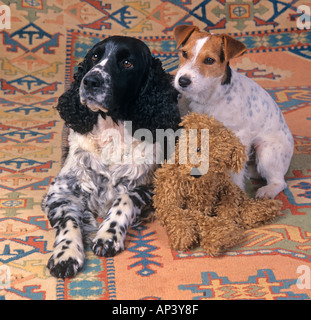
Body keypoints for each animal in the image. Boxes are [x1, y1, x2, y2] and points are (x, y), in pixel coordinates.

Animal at [42, 36, 182, 278]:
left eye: (127, 63)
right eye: (95, 56)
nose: (90, 81)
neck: (111, 131)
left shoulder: (152, 184)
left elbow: (124, 199)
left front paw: (108, 235)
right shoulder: (61, 191)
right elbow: (68, 220)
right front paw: (66, 254)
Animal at [176, 25, 294, 200]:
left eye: (209, 60)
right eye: (184, 53)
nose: (182, 81)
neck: (208, 98)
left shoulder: (239, 136)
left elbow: (235, 171)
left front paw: (235, 190)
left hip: (266, 151)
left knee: (279, 181)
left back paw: (266, 190)